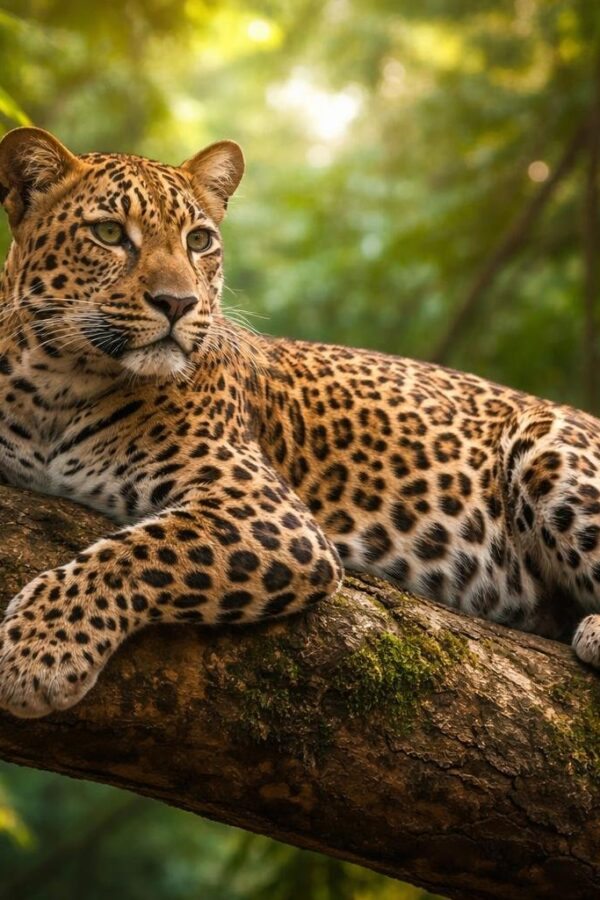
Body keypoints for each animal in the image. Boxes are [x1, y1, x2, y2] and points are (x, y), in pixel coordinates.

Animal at [0, 126, 599, 719]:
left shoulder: (271, 517)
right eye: (107, 233)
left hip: (547, 445)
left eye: (199, 241)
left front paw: (38, 651)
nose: (178, 303)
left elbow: (139, 552)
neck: (57, 389)